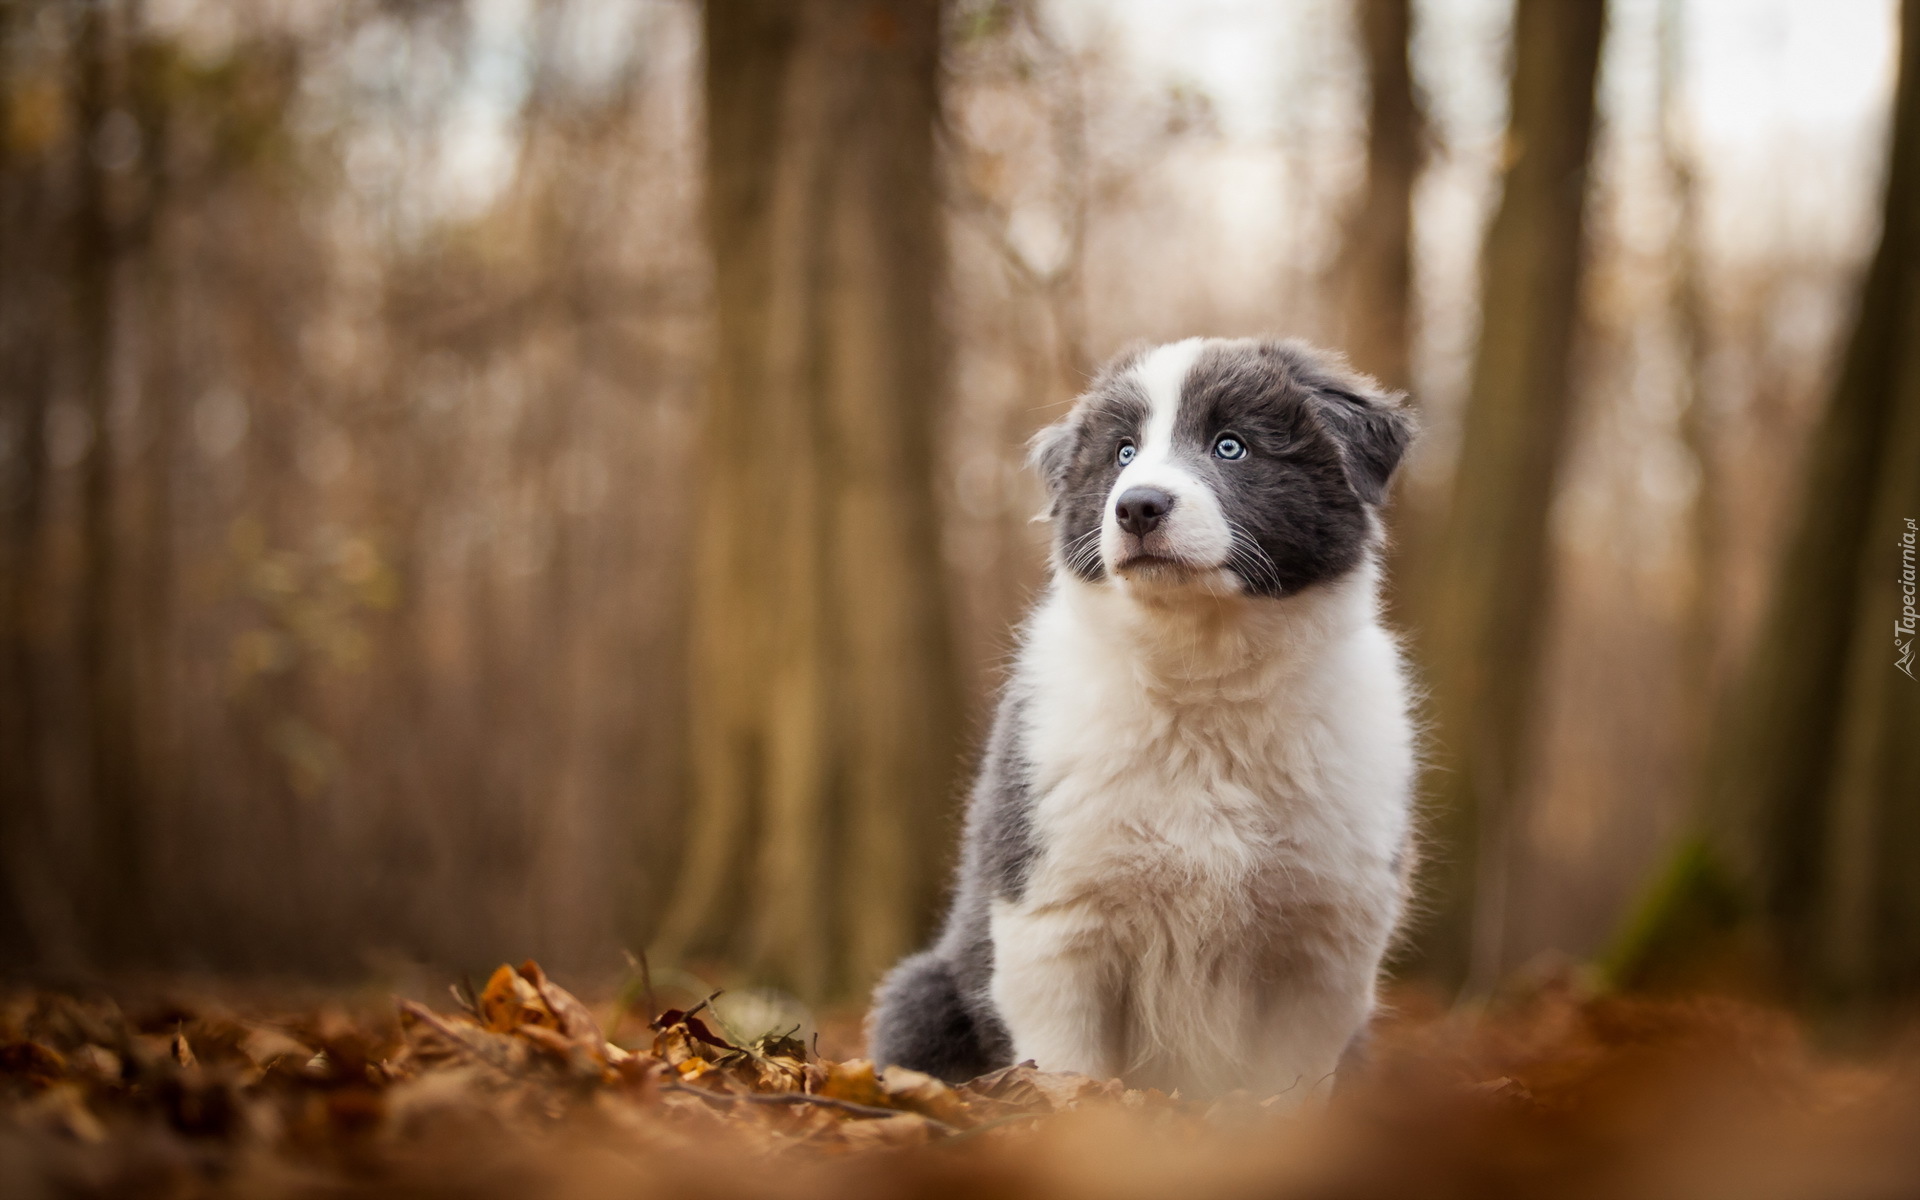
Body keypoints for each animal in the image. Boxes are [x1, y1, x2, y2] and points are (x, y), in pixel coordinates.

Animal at [864, 339, 1420, 1105]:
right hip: (921, 993)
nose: (1138, 506)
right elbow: (1064, 1068)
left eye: (1231, 445)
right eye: (1123, 453)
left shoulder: (1323, 937)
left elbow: (1288, 1085)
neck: (1204, 683)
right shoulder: (1056, 920)